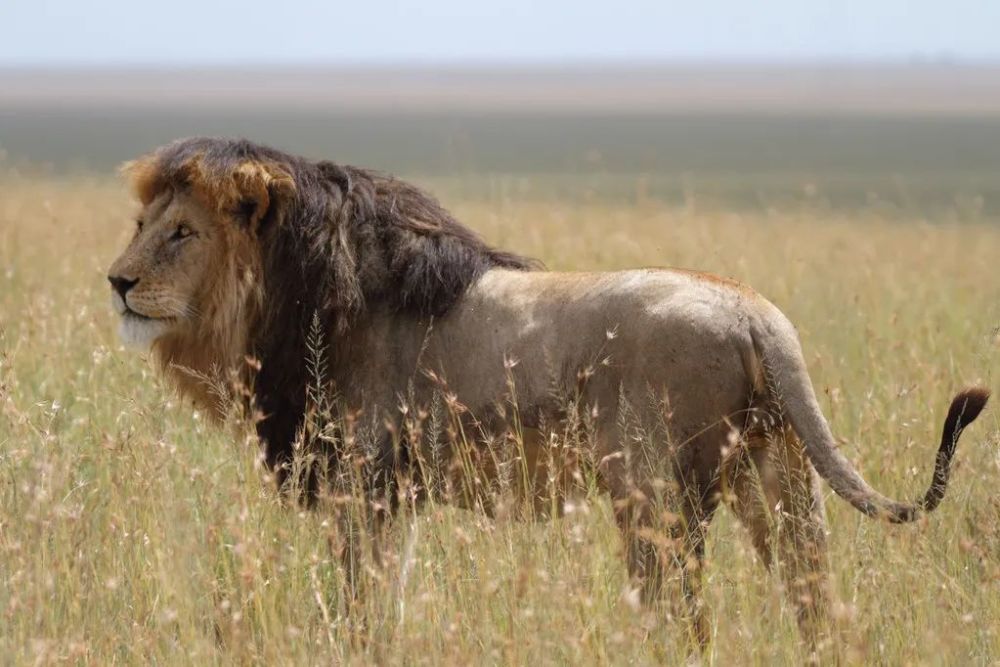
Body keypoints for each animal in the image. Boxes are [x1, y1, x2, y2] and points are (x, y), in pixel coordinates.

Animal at [111, 137, 992, 648]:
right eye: (140, 226)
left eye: (182, 233)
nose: (117, 282)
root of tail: (757, 313)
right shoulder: (393, 493)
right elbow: (387, 600)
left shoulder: (360, 487)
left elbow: (357, 603)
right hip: (777, 479)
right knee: (817, 604)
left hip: (652, 494)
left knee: (684, 622)